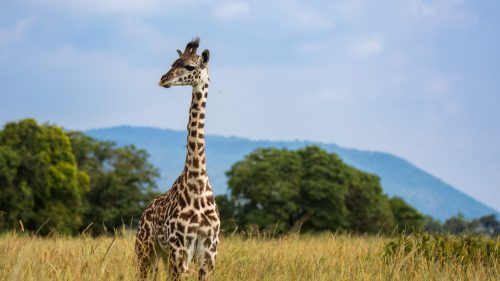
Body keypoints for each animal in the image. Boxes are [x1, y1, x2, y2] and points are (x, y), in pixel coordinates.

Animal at [136, 37, 220, 280]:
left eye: (190, 66)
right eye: (173, 63)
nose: (164, 79)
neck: (197, 184)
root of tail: (145, 210)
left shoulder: (209, 252)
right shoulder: (180, 248)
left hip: (162, 255)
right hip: (146, 249)